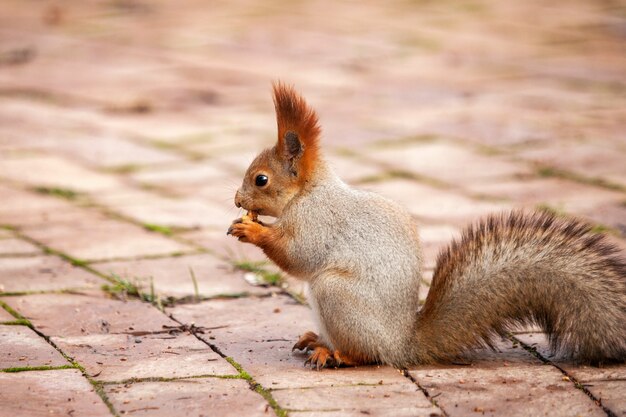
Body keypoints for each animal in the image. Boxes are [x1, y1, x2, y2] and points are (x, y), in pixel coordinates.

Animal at [228, 81, 624, 368]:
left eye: (261, 180)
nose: (236, 200)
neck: (309, 192)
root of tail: (402, 345)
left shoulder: (318, 220)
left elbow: (299, 255)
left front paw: (251, 230)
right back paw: (317, 340)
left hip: (335, 294)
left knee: (367, 354)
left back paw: (336, 353)